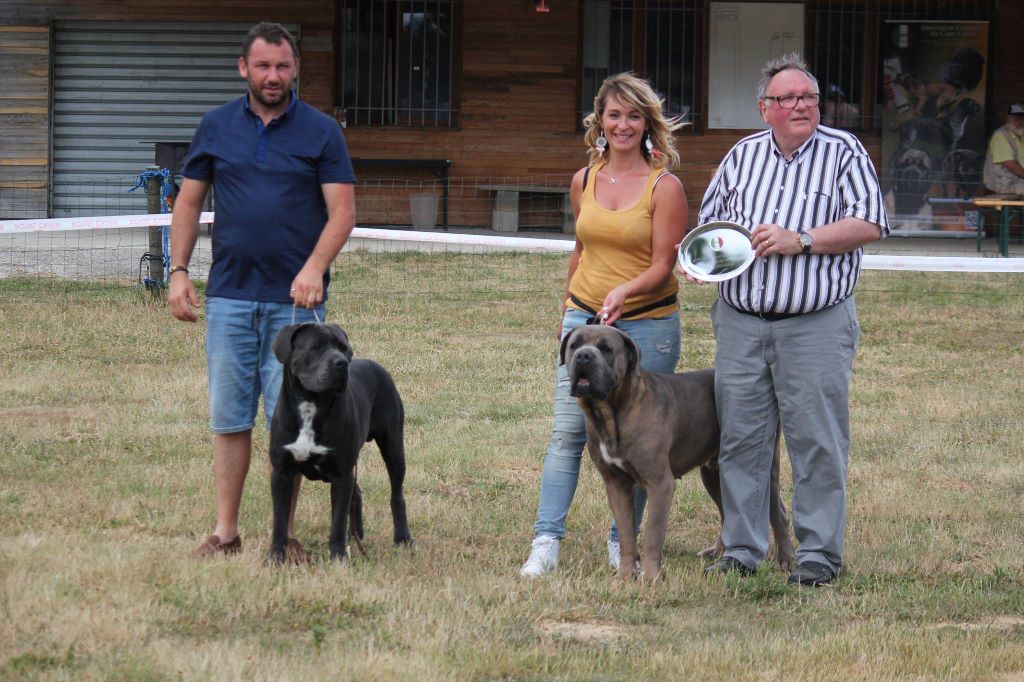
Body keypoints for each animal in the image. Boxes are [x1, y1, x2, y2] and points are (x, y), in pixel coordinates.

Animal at [268, 321, 411, 561]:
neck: (311, 404)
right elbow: (279, 520)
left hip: (393, 447)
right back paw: (356, 534)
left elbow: (337, 520)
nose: (341, 363)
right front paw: (275, 557)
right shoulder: (282, 472)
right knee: (358, 494)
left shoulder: (341, 475)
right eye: (316, 346)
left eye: (344, 348)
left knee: (397, 494)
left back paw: (403, 538)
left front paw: (338, 558)